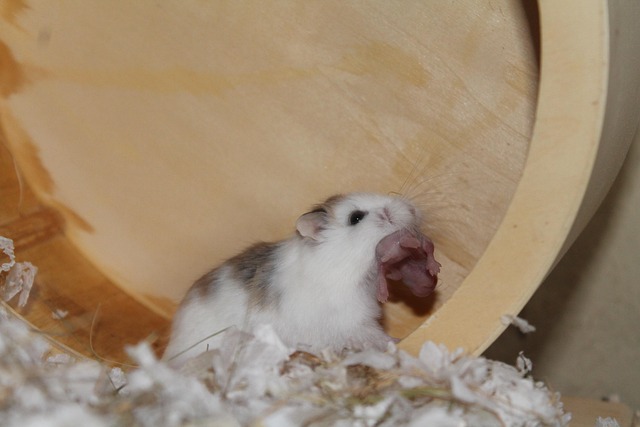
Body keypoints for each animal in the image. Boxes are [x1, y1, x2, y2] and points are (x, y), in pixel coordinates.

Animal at [163, 193, 440, 364]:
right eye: (356, 217)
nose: (412, 209)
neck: (344, 265)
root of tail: (170, 351)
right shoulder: (354, 322)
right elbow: (375, 337)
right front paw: (395, 343)